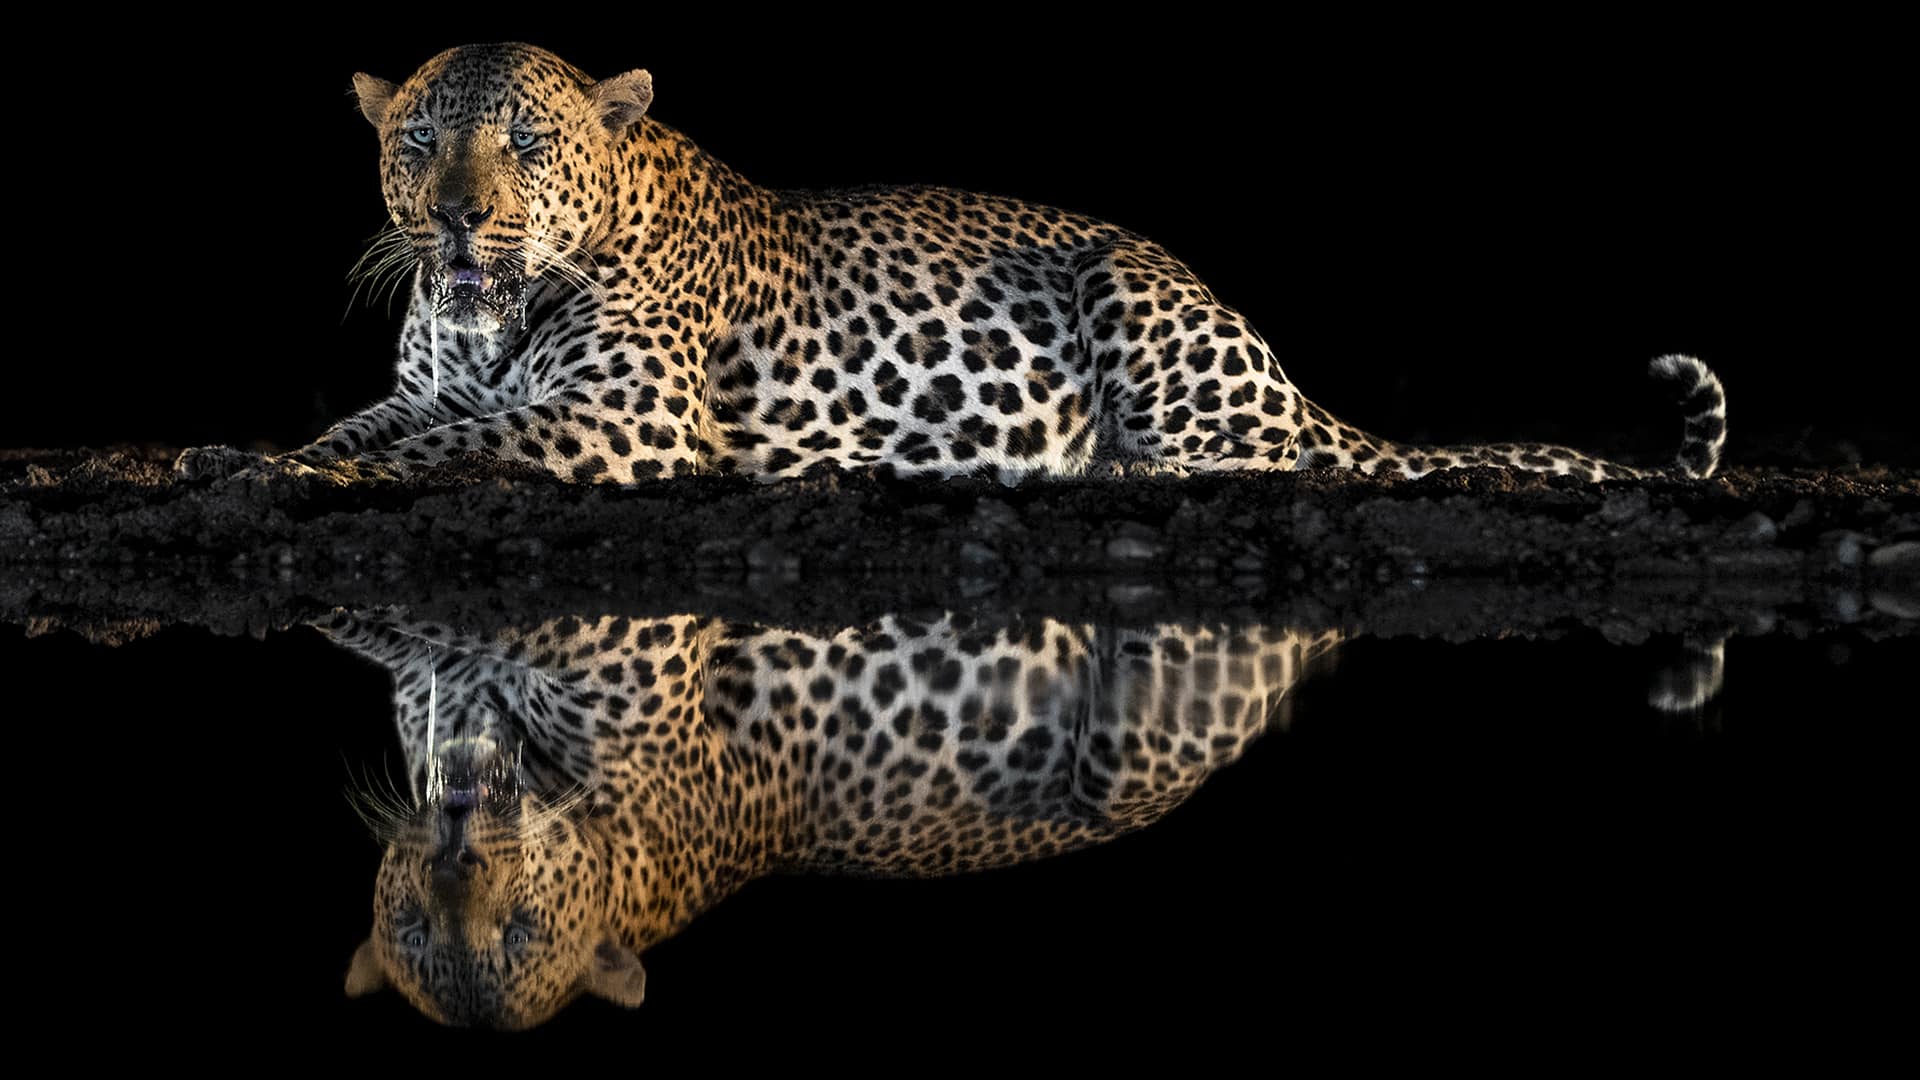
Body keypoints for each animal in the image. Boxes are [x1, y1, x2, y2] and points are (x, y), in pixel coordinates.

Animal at [175, 42, 1727, 486]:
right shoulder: (432, 386)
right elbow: (364, 426)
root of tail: (1290, 373)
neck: (485, 326)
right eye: (419, 142)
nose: (453, 220)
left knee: (1243, 461)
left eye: (527, 144)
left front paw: (321, 478)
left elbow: (448, 449)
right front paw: (239, 455)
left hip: (1139, 311)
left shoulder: (621, 419)